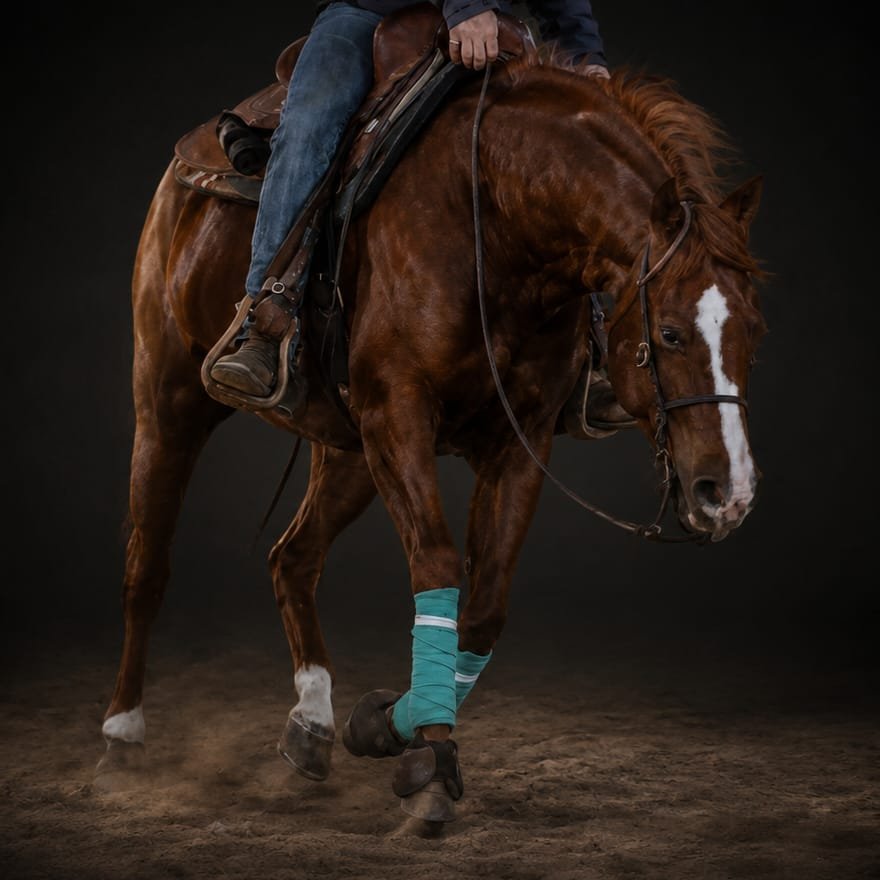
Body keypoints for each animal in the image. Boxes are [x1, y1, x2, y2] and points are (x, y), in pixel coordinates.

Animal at [97, 26, 767, 824]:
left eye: (752, 331)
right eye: (667, 333)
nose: (729, 495)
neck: (495, 212)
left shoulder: (518, 439)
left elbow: (483, 608)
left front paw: (385, 724)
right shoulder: (399, 415)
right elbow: (440, 569)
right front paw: (432, 763)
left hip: (347, 451)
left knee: (292, 558)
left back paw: (312, 723)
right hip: (166, 396)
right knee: (147, 564)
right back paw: (122, 734)